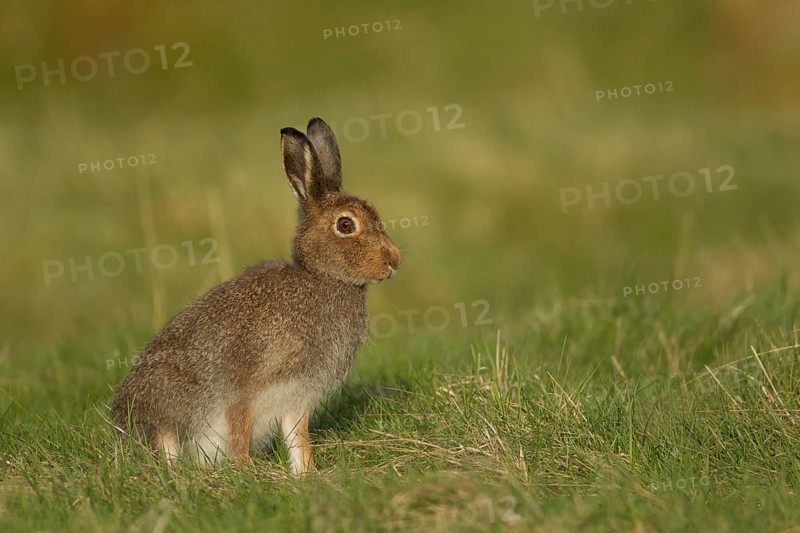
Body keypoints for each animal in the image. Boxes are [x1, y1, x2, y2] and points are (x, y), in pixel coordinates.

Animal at [111, 118, 401, 474]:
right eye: (346, 225)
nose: (394, 261)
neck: (321, 277)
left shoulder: (296, 397)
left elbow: (298, 439)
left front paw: (305, 474)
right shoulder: (243, 389)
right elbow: (239, 433)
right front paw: (247, 472)